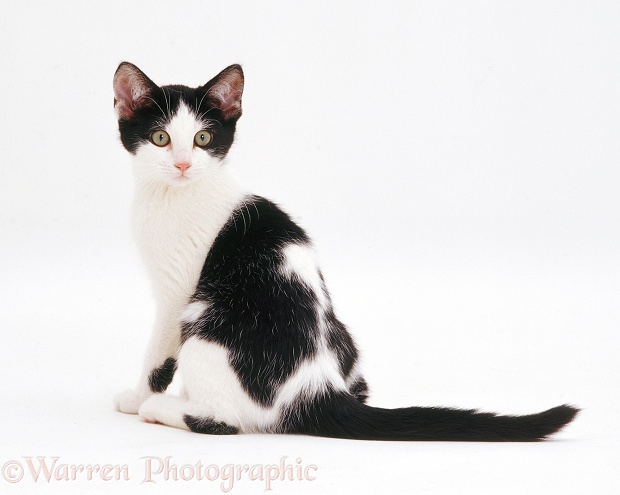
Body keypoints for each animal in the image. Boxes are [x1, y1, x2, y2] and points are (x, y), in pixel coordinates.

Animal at [110, 63, 576, 442]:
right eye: (160, 138)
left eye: (203, 138)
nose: (183, 164)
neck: (172, 195)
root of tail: (316, 386)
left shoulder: (177, 293)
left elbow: (157, 356)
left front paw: (136, 396)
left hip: (205, 321)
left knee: (222, 420)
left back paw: (161, 408)